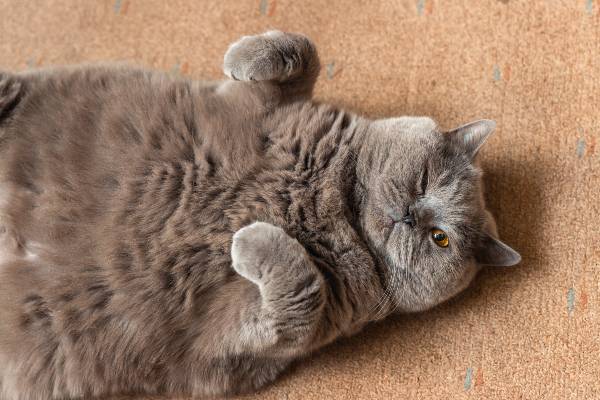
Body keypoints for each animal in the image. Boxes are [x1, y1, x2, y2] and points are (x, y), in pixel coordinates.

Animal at [0, 32, 516, 400]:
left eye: (440, 239)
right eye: (426, 178)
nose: (412, 215)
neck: (335, 201)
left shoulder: (265, 337)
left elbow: (300, 293)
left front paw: (250, 240)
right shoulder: (262, 107)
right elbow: (303, 50)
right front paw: (241, 57)